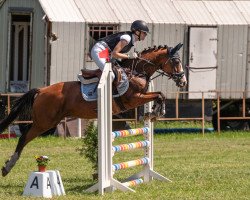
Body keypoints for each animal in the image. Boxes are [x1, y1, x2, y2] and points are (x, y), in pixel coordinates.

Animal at [0, 42, 186, 177]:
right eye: (176, 61)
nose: (183, 81)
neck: (137, 71)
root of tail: (41, 90)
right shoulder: (133, 99)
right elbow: (160, 95)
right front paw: (156, 112)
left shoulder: (140, 96)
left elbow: (159, 95)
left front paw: (153, 113)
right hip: (45, 123)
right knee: (23, 137)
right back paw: (8, 166)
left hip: (48, 122)